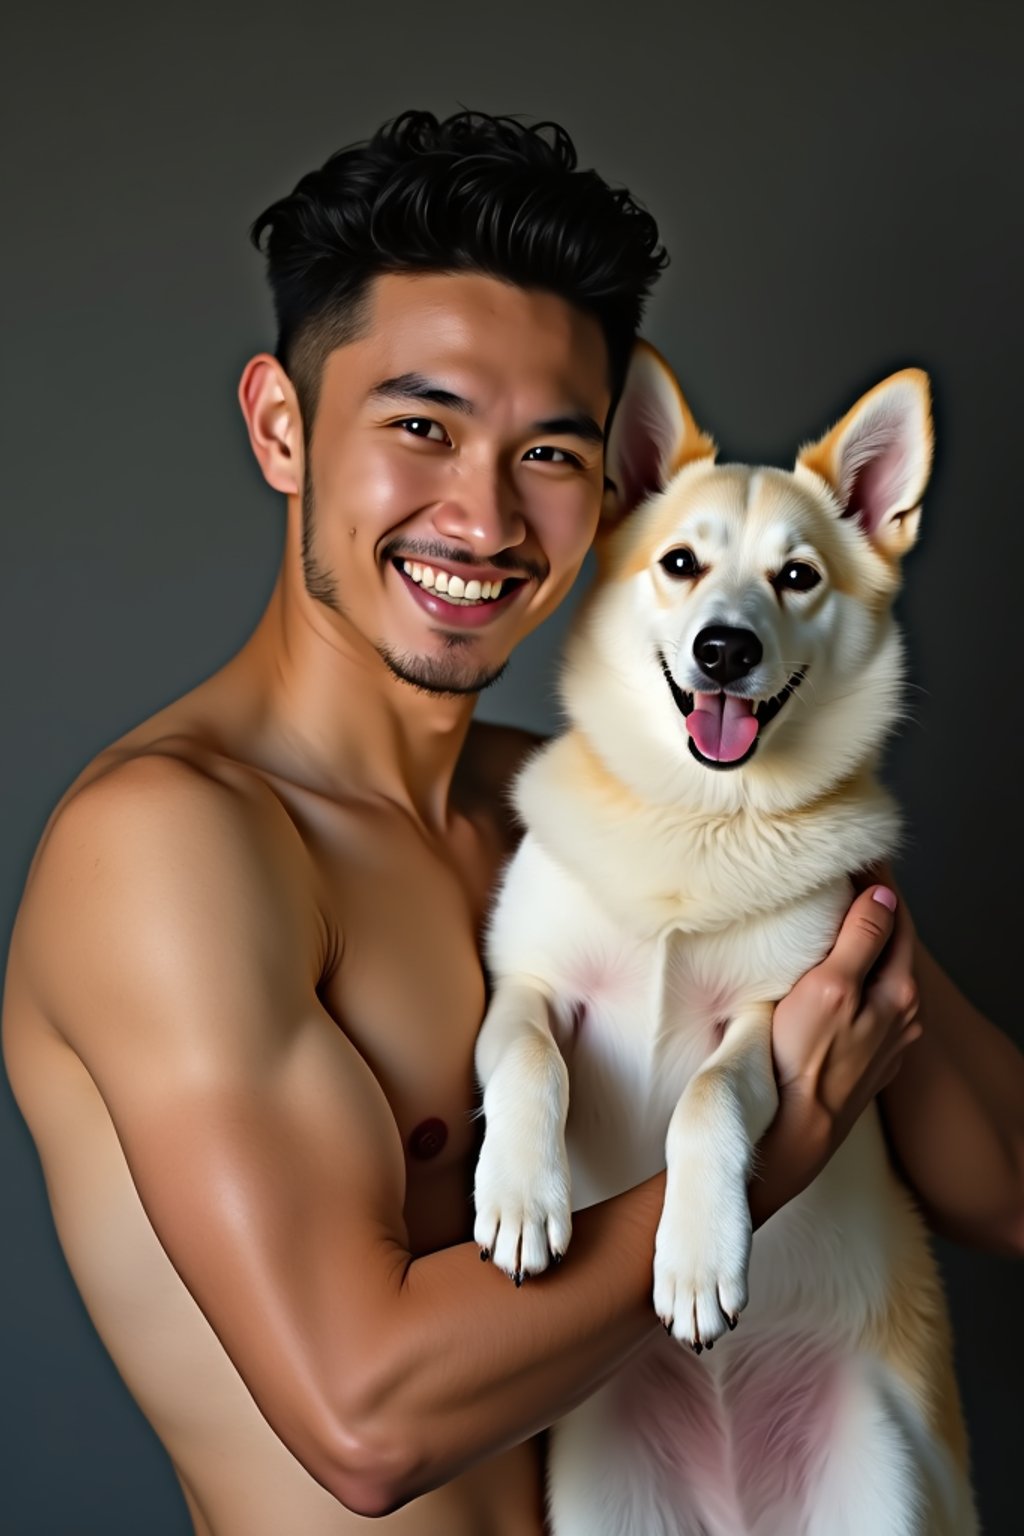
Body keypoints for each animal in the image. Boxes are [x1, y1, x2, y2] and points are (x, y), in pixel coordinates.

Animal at [472, 348, 976, 1536]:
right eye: (680, 564)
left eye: (797, 577)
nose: (724, 648)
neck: (698, 824)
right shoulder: (528, 986)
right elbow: (528, 1061)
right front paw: (519, 1199)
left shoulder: (774, 1022)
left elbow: (706, 1101)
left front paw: (698, 1259)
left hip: (882, 1477)